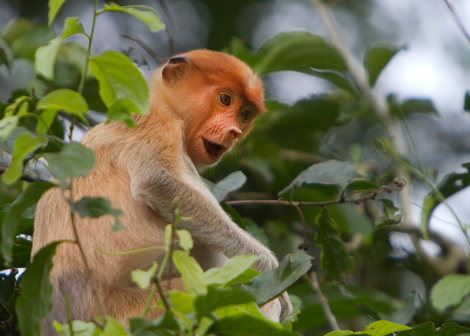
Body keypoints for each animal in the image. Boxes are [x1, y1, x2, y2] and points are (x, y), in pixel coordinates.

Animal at [31, 49, 292, 334]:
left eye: (245, 114)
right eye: (225, 99)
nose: (234, 132)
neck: (167, 105)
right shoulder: (154, 121)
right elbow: (158, 182)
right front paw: (267, 267)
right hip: (145, 308)